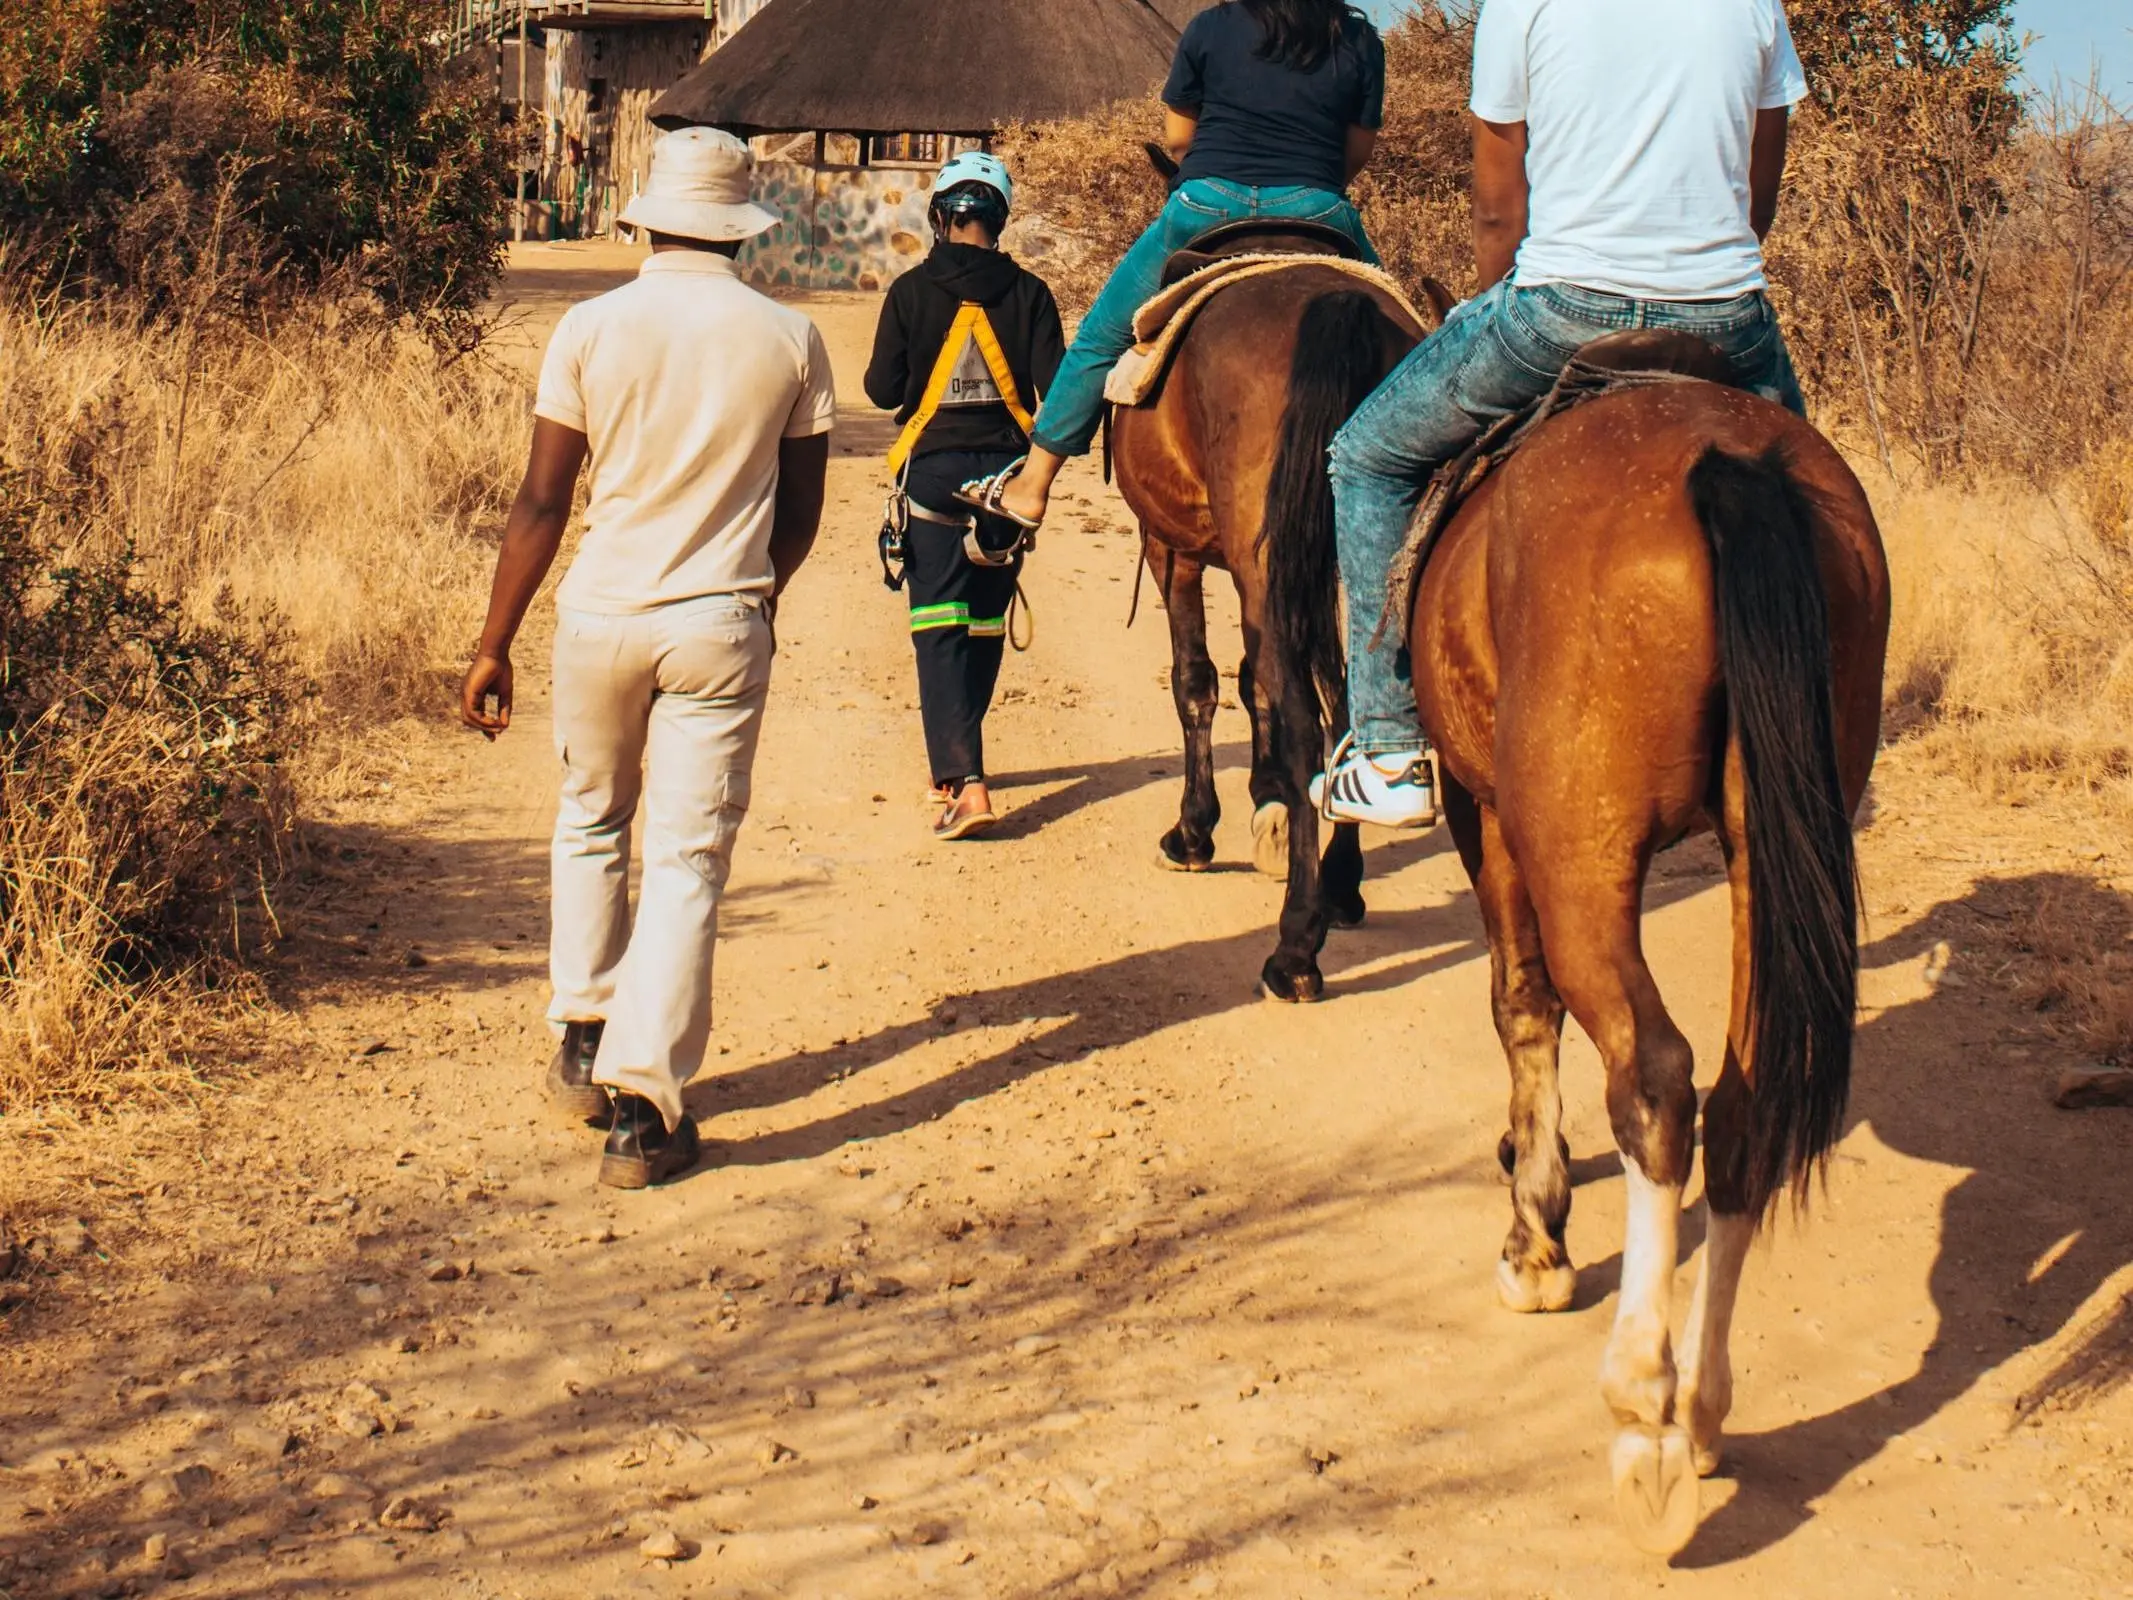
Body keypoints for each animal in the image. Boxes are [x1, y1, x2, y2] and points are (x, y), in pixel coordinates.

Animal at [1109, 241, 1441, 1002]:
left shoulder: (1172, 550)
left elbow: (1198, 683)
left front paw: (1193, 832)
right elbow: (1251, 677)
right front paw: (1270, 808)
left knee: (1303, 724)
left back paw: (1294, 948)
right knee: (1349, 707)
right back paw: (1342, 886)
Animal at [1382, 375, 1885, 1553]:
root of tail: (1729, 463)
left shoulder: (1490, 820)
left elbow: (1519, 1003)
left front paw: (1536, 1240)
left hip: (1580, 846)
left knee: (1653, 1080)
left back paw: (1641, 1410)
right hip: (1767, 844)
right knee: (1740, 1105)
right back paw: (1700, 1409)